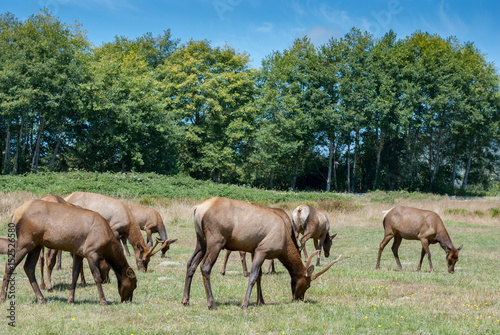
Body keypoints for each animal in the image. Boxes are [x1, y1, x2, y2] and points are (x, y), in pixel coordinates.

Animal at [0, 200, 137, 308]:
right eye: (134, 284)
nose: (128, 300)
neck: (108, 244)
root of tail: (14, 213)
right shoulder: (91, 251)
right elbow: (96, 276)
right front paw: (103, 301)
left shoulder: (79, 253)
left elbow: (74, 275)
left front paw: (70, 299)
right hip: (26, 240)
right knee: (10, 263)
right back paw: (3, 297)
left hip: (36, 243)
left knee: (28, 267)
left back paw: (41, 299)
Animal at [182, 198, 342, 312]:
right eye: (308, 284)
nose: (299, 299)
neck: (284, 243)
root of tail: (198, 209)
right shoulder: (262, 250)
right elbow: (253, 276)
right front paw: (245, 304)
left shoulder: (254, 250)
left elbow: (259, 275)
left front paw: (261, 301)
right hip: (216, 240)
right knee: (205, 267)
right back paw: (212, 304)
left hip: (201, 240)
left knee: (191, 263)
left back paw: (185, 300)